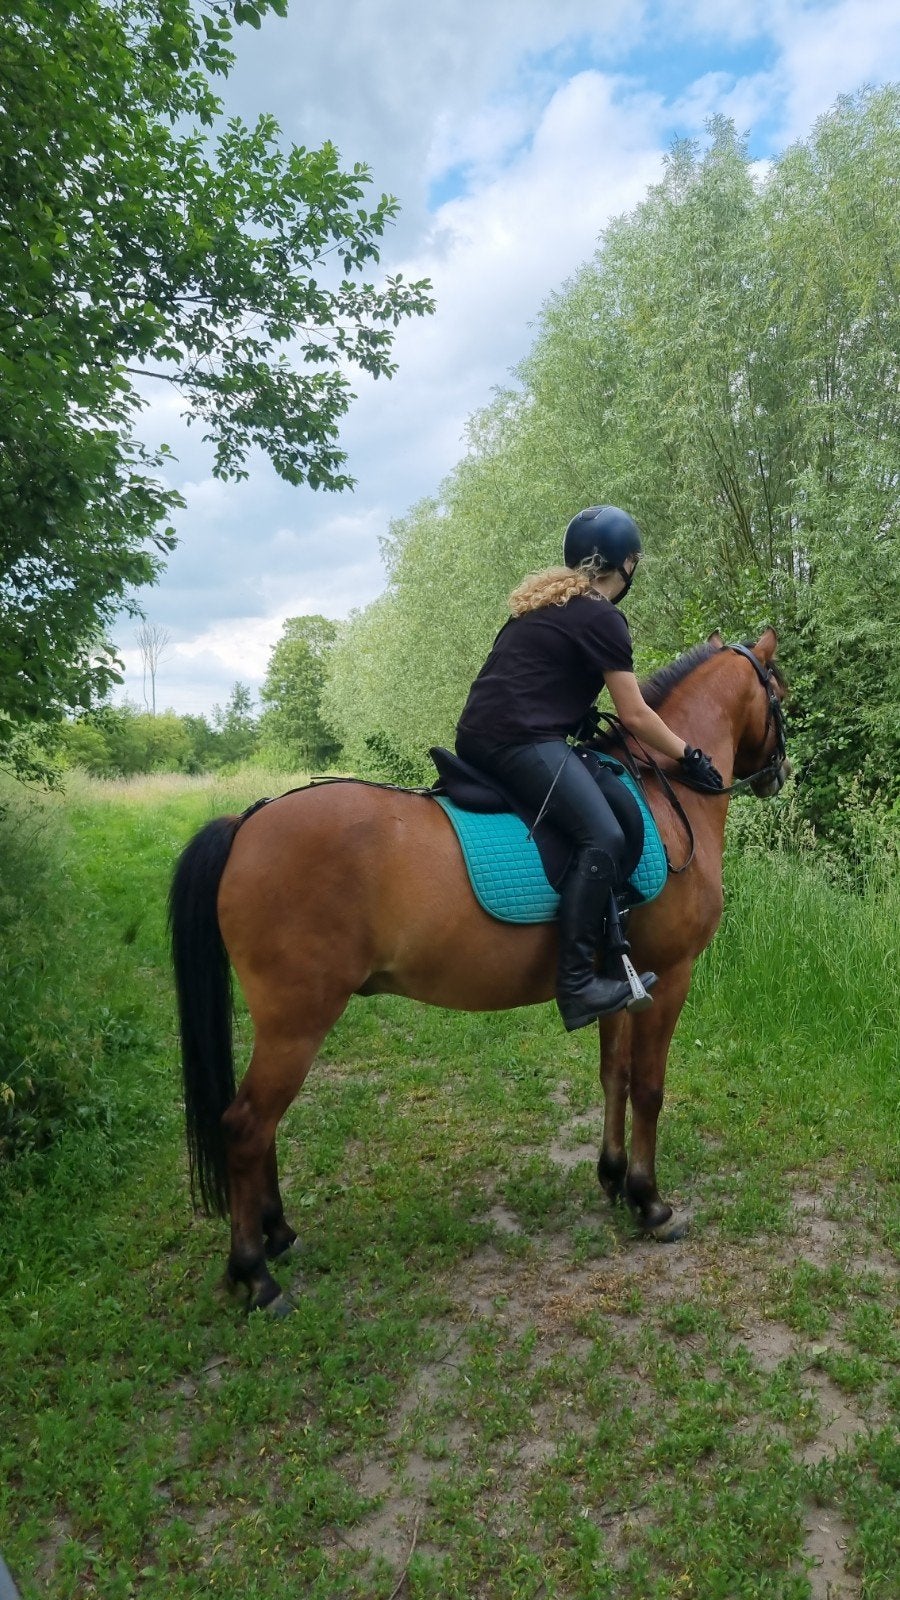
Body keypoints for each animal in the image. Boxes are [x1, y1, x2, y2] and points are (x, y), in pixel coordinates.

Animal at [170, 628, 789, 1312]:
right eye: (781, 691)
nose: (780, 773)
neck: (662, 796)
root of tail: (247, 823)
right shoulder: (670, 976)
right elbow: (649, 1089)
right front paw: (650, 1203)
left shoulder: (622, 984)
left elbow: (615, 1077)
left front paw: (612, 1178)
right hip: (297, 1021)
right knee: (247, 1126)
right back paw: (256, 1273)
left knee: (262, 1125)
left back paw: (278, 1233)